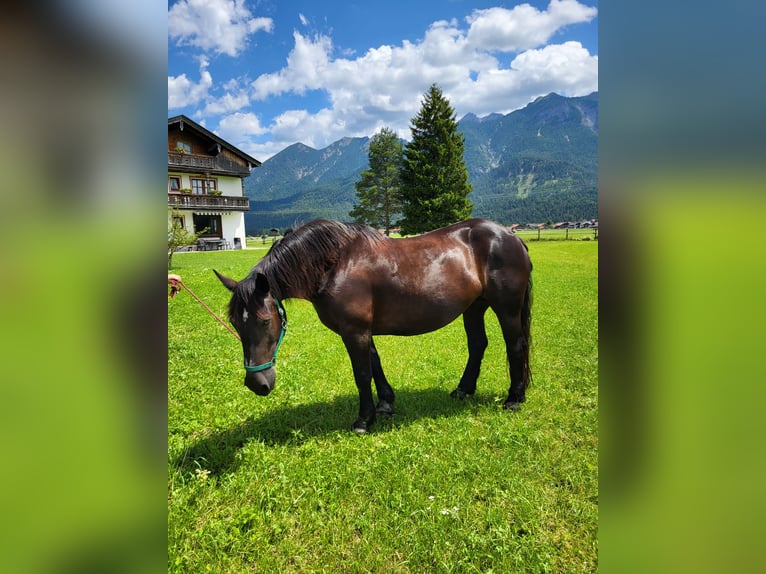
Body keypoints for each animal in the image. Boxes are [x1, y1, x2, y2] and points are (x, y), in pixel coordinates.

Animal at [213, 218, 532, 434]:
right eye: (235, 323)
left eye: (265, 320)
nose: (257, 384)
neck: (335, 265)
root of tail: (510, 236)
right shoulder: (363, 331)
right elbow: (375, 364)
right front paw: (386, 404)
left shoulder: (354, 332)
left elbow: (362, 373)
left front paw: (364, 419)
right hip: (474, 307)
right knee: (478, 345)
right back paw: (463, 390)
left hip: (506, 308)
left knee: (515, 345)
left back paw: (514, 398)